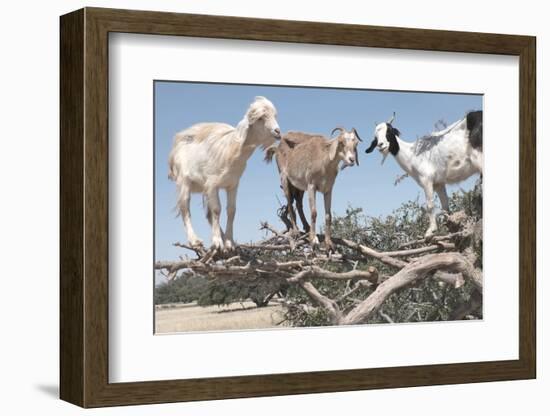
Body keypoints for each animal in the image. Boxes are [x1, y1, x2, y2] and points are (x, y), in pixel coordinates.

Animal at [169, 96, 282, 249]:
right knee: (185, 208)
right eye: (260, 118)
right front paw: (217, 242)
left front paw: (229, 242)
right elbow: (217, 209)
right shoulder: (212, 184)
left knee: (207, 214)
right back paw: (195, 240)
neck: (232, 150)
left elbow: (231, 210)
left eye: (274, 115)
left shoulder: (232, 185)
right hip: (184, 182)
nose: (277, 131)